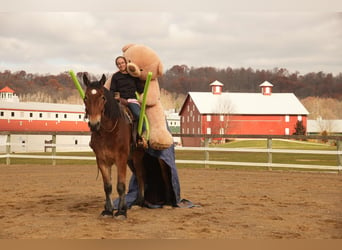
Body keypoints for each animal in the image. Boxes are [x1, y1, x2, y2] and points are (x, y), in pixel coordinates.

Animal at [84, 73, 146, 218]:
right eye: (85, 97)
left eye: (102, 97)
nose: (94, 124)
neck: (109, 131)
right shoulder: (102, 160)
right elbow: (108, 186)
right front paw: (108, 210)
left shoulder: (120, 159)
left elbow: (120, 185)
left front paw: (121, 211)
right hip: (130, 160)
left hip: (137, 157)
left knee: (140, 176)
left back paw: (139, 202)